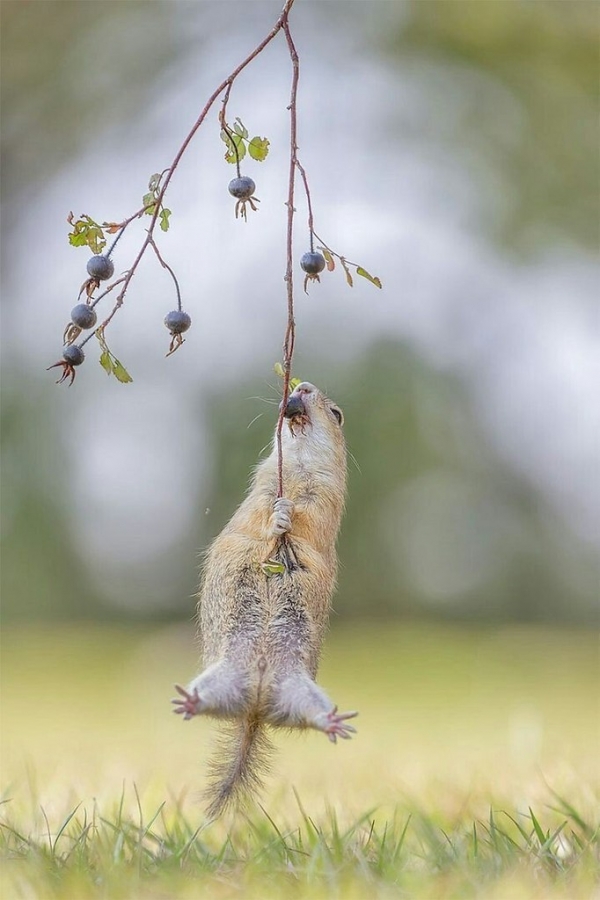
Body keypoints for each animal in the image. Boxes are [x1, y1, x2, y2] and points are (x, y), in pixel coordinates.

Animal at [173, 380, 360, 816]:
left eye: (337, 414)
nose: (302, 386)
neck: (296, 465)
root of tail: (255, 709)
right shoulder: (259, 485)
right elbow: (258, 514)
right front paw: (278, 518)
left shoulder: (325, 497)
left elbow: (309, 518)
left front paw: (288, 516)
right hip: (225, 678)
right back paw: (190, 702)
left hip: (299, 691)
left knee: (308, 716)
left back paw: (333, 722)